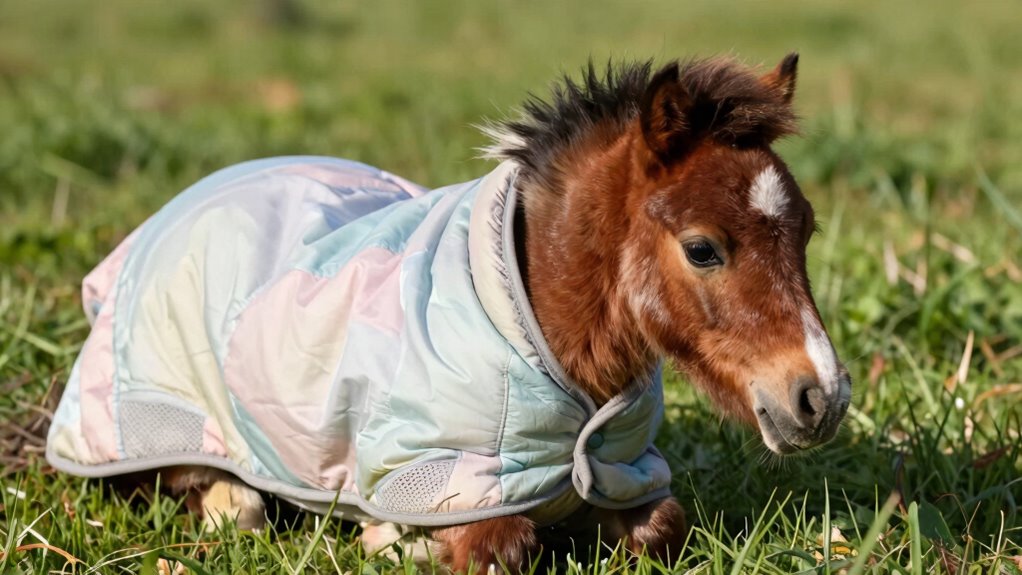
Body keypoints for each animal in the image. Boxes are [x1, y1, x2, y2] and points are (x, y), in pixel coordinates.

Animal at [46, 53, 851, 573]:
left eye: (809, 230)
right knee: (212, 492)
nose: (821, 397)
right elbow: (501, 546)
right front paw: (385, 536)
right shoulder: (445, 481)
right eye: (702, 248)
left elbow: (663, 527)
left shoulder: (624, 468)